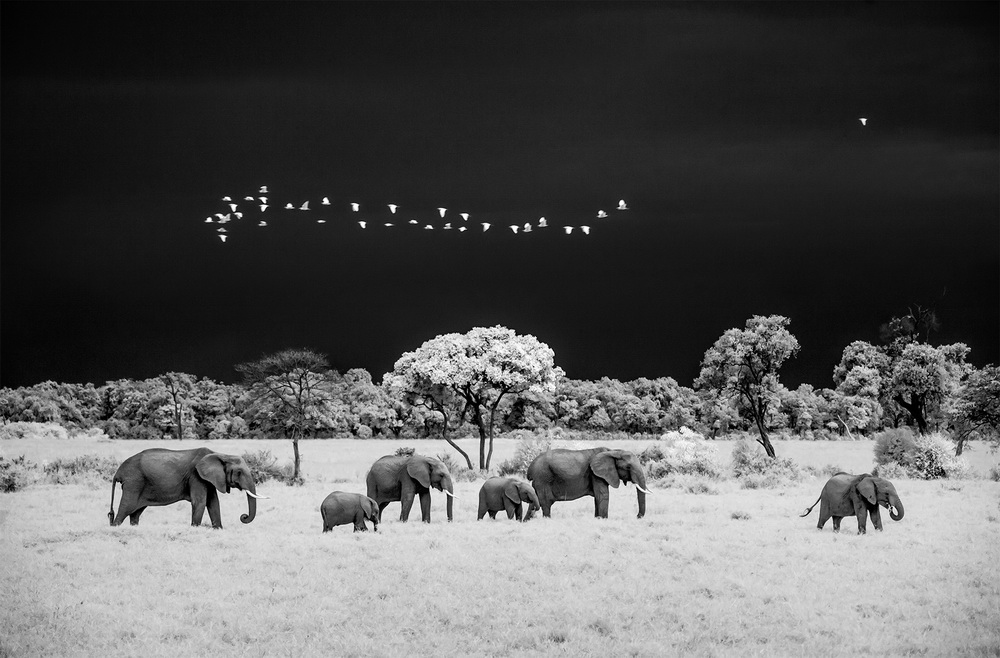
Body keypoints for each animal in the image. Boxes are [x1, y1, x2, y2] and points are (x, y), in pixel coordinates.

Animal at [108, 446, 264, 528]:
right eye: (239, 472)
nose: (243, 516)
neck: (220, 454)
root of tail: (118, 472)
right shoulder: (196, 476)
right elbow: (200, 502)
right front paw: (195, 528)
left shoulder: (208, 479)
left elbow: (213, 503)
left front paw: (218, 529)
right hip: (134, 482)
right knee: (125, 508)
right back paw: (115, 528)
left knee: (135, 513)